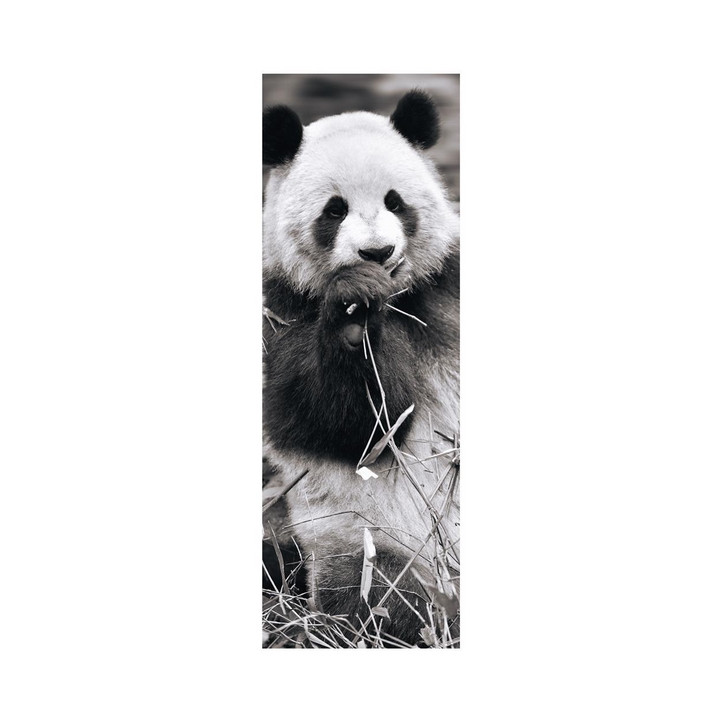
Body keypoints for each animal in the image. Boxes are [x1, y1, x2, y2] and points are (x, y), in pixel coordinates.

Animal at [262, 90, 460, 647]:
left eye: (396, 201)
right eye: (335, 210)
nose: (377, 252)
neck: (400, 297)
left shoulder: (450, 283)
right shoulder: (281, 311)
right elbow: (349, 426)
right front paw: (354, 316)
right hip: (365, 540)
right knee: (387, 598)